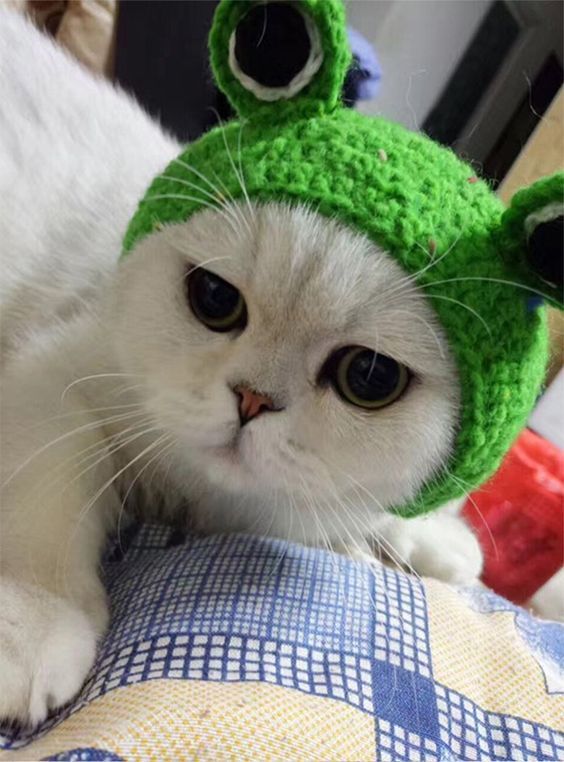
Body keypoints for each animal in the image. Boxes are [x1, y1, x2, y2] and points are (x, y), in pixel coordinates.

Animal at [1, 11, 480, 724]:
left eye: (368, 376)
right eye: (215, 299)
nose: (252, 399)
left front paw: (434, 536)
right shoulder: (51, 377)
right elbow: (46, 494)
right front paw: (34, 622)